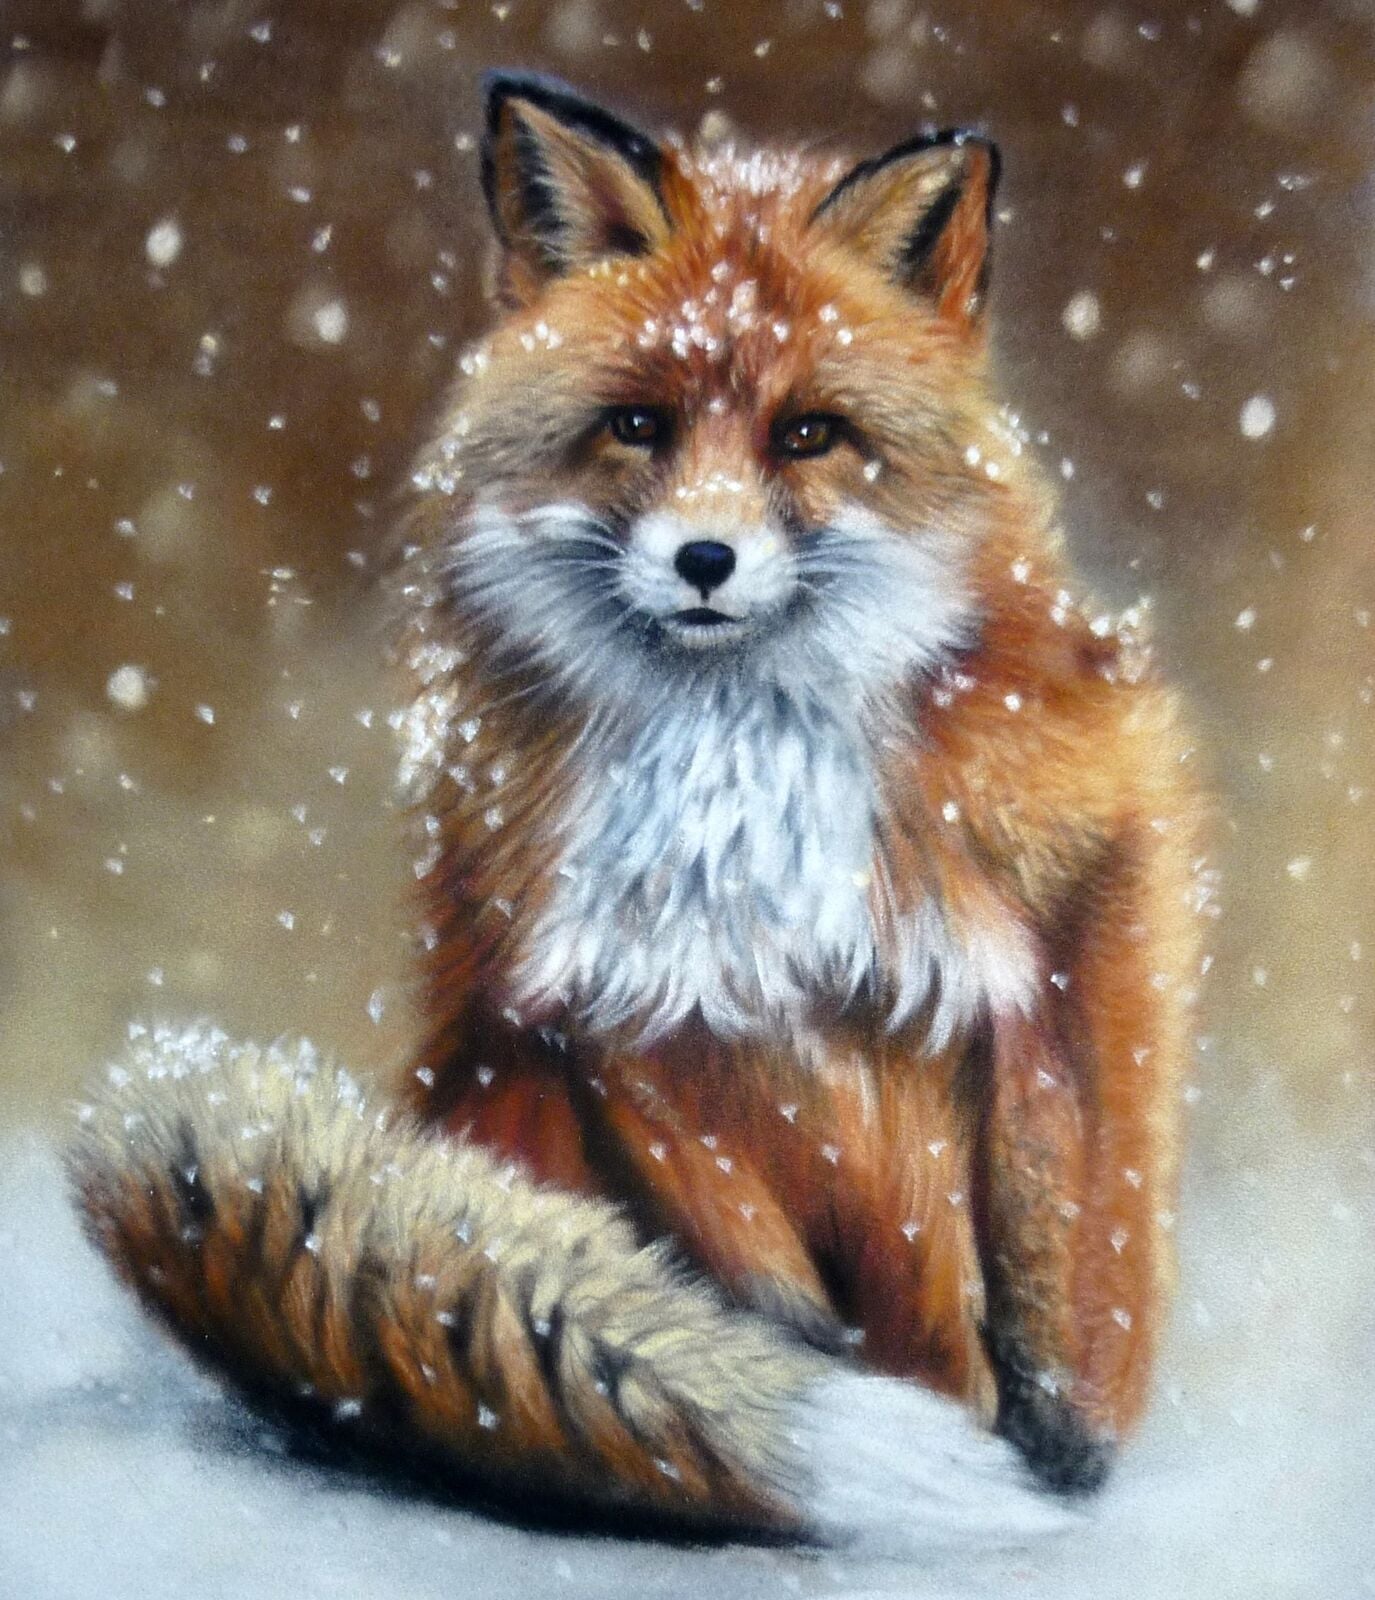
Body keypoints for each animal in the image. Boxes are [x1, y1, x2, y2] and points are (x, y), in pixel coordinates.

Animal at [69, 72, 1204, 1551]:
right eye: (638, 425)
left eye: (806, 433)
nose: (704, 559)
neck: (744, 779)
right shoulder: (620, 1011)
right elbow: (761, 1295)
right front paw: (770, 1400)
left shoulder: (1020, 954)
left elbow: (1015, 1269)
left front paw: (1029, 1441)